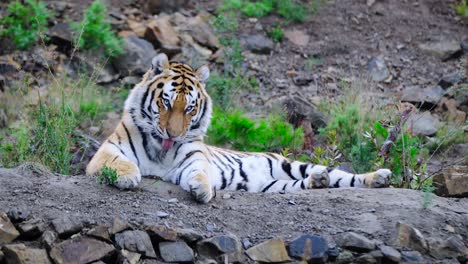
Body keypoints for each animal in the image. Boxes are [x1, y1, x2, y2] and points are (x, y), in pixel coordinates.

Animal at [86, 53, 394, 202]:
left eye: (189, 108)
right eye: (166, 102)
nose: (173, 134)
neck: (161, 151)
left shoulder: (193, 158)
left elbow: (199, 171)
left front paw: (202, 188)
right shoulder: (106, 151)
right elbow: (118, 161)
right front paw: (128, 176)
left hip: (291, 164)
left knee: (344, 177)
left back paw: (378, 177)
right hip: (274, 186)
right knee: (307, 184)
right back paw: (319, 182)